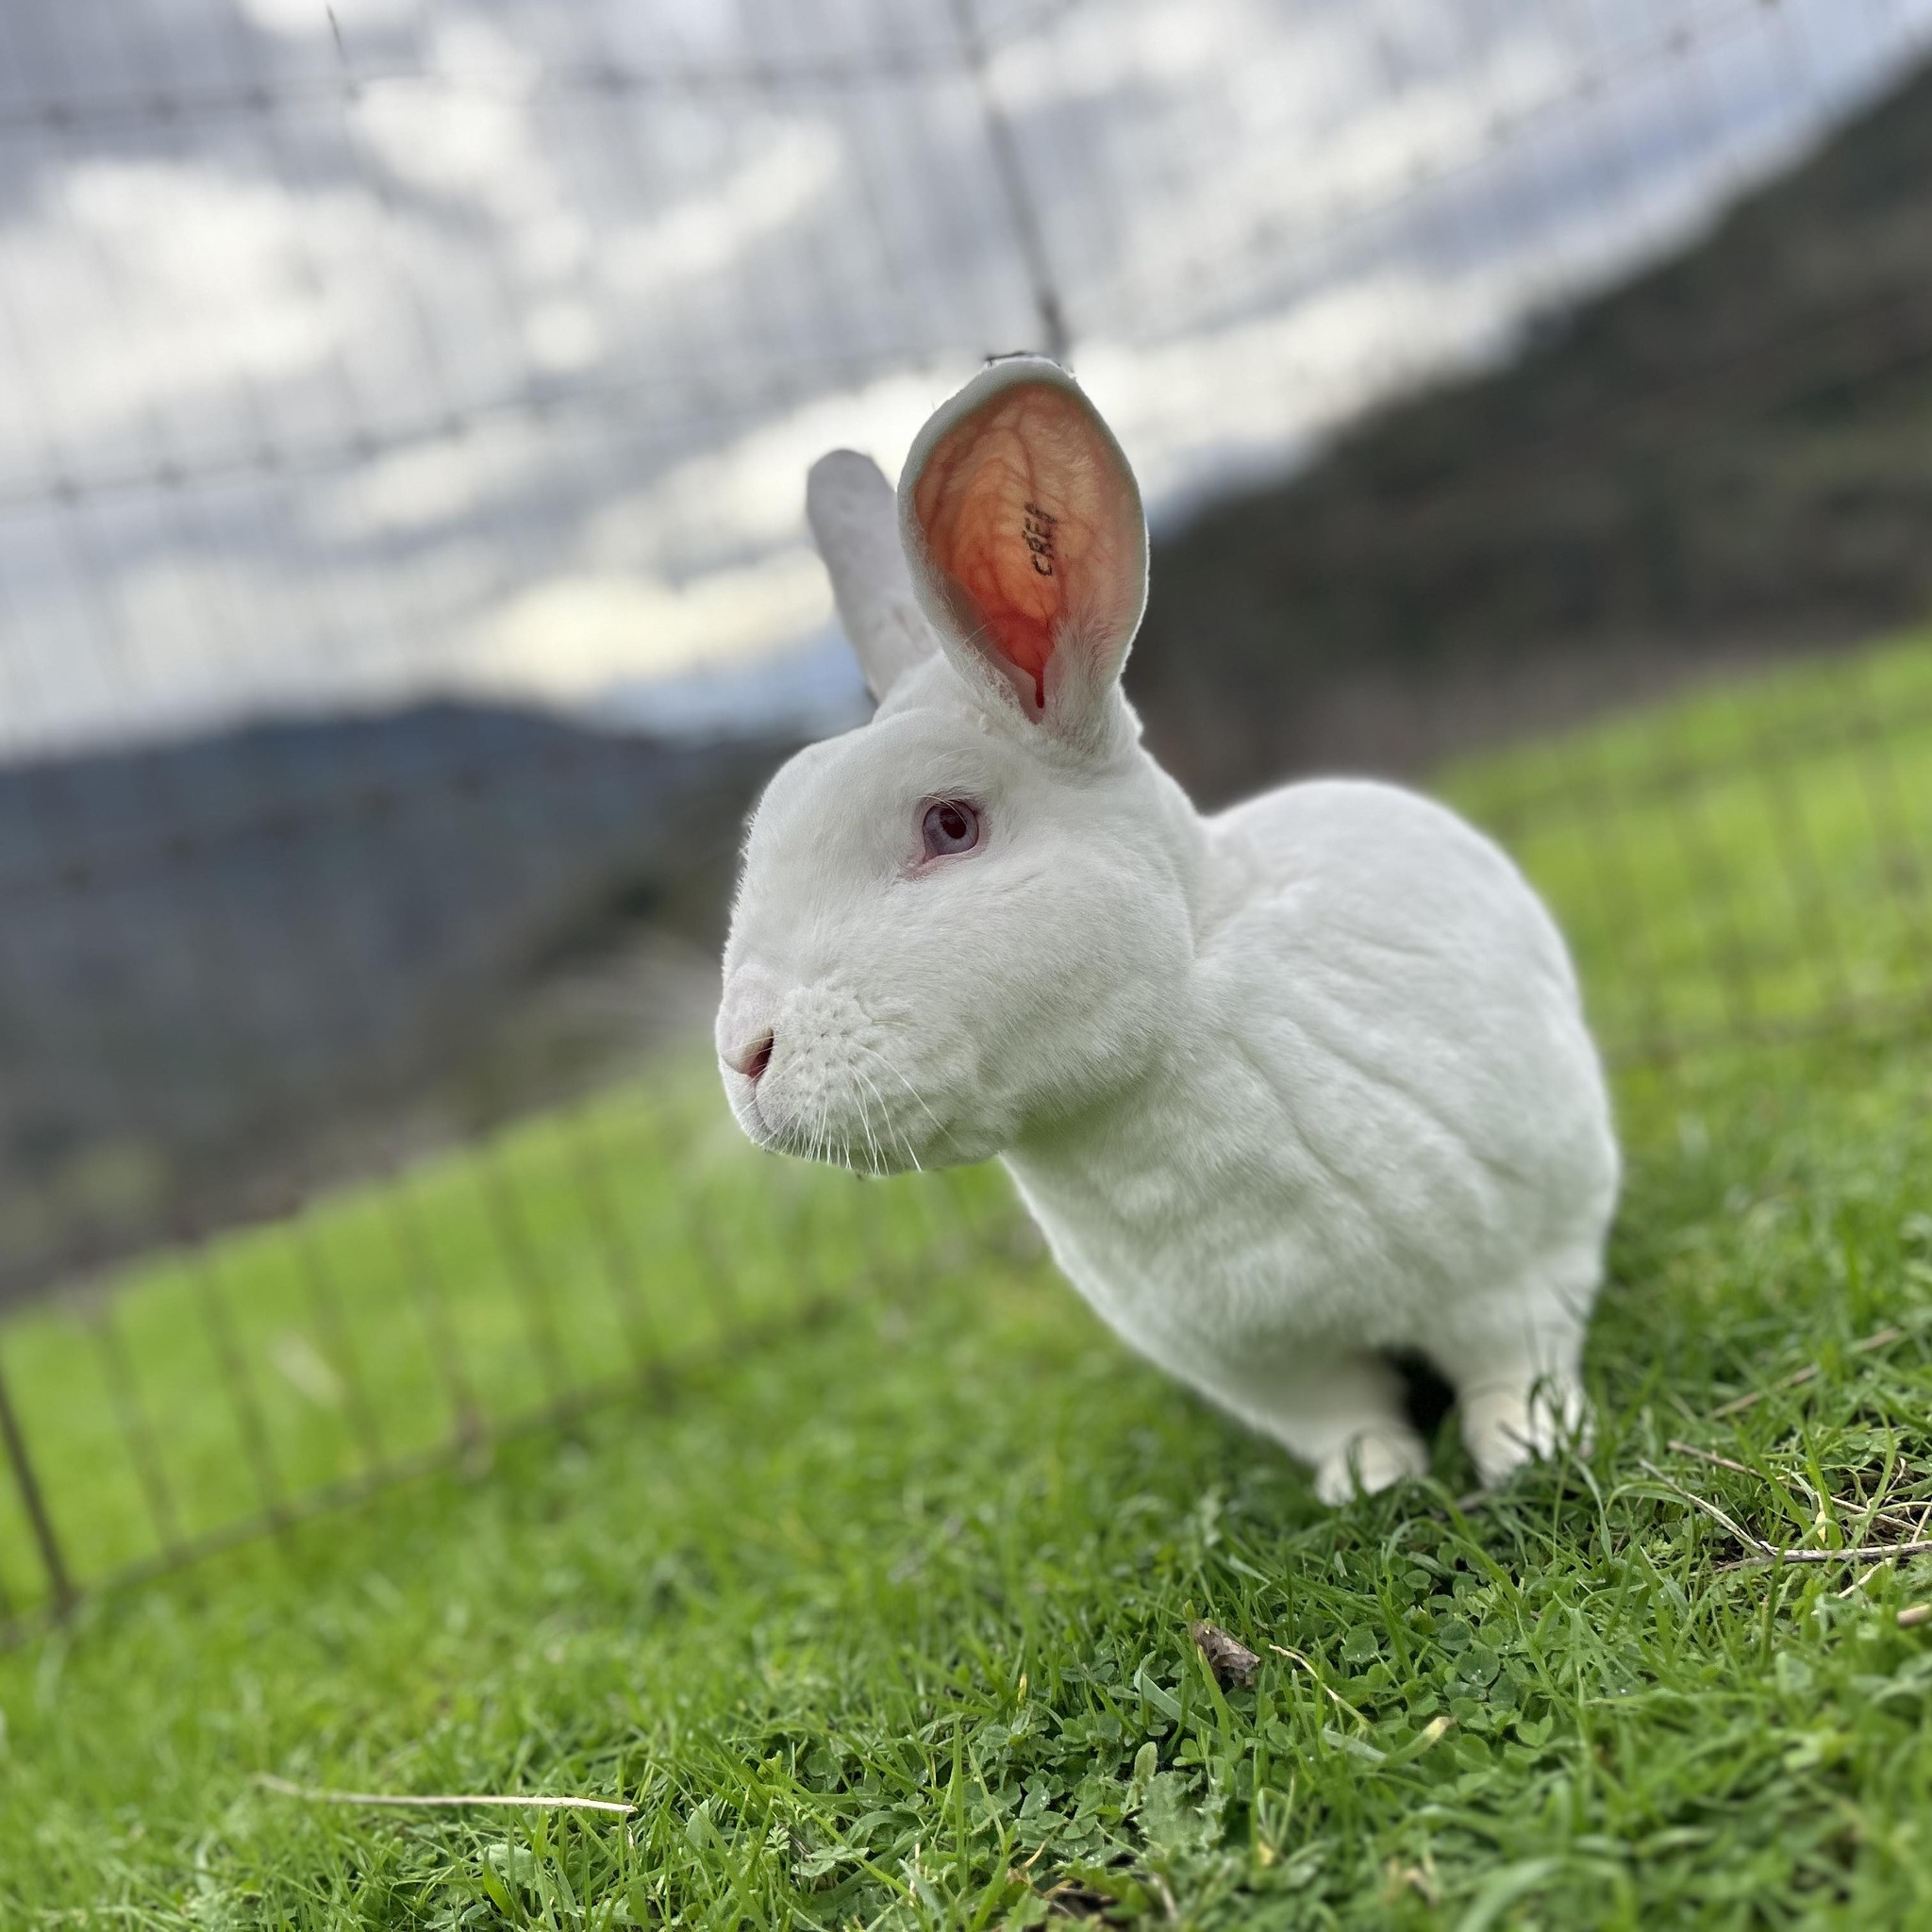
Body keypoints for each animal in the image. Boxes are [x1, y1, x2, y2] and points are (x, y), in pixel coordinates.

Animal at [716, 355, 1619, 1504]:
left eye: (949, 824)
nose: (743, 1055)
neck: (1175, 1037)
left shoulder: (1515, 1269)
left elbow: (1514, 1365)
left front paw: (1528, 1451)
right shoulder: (1268, 1367)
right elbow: (1345, 1417)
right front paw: (1368, 1484)